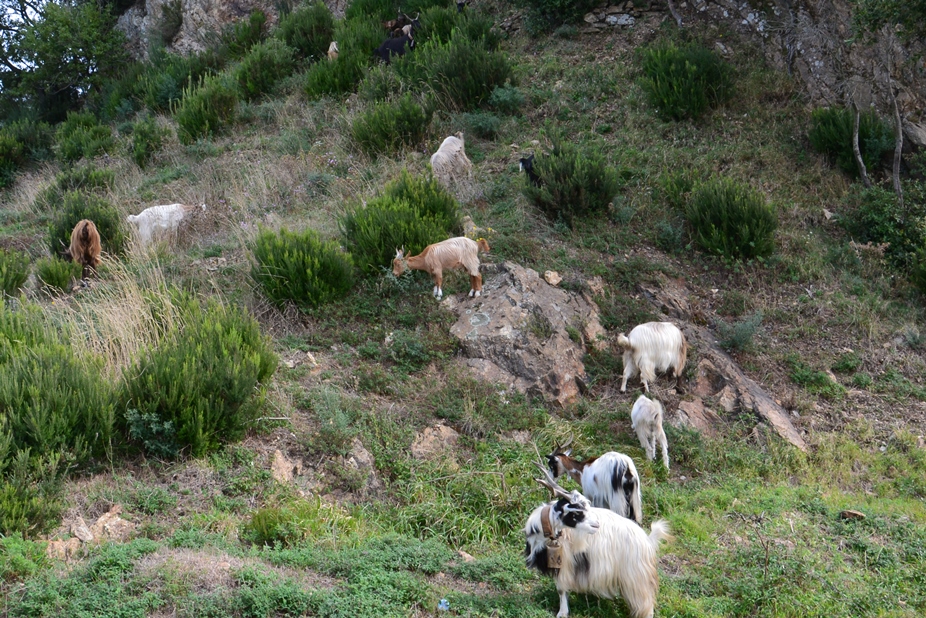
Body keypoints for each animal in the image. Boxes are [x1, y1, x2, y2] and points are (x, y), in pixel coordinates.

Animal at [524, 466, 672, 616]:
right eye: (576, 513)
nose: (596, 525)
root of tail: (647, 541)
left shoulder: (565, 562)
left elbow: (561, 588)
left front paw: (562, 613)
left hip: (636, 575)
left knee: (645, 603)